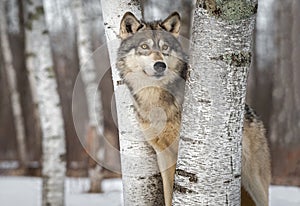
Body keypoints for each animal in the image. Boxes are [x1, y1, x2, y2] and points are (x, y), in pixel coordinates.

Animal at [116, 11, 270, 206]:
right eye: (144, 46)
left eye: (165, 47)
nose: (160, 65)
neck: (155, 99)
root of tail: (255, 115)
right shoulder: (163, 154)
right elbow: (168, 193)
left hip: (255, 182)